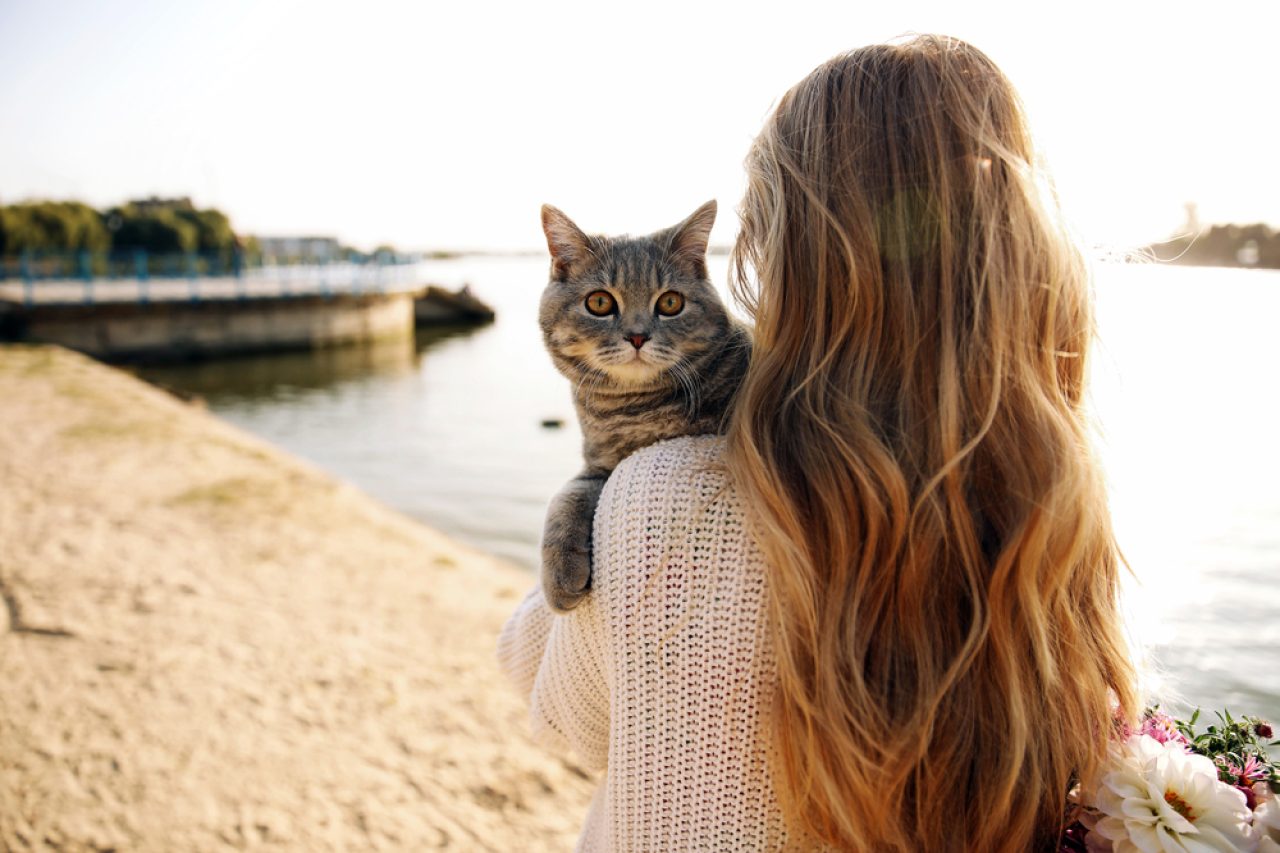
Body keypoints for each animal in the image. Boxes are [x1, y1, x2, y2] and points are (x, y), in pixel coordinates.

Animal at [537, 199, 747, 607]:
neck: (635, 410)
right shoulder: (598, 464)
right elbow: (566, 496)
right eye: (599, 302)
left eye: (670, 302)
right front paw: (559, 574)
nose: (637, 336)